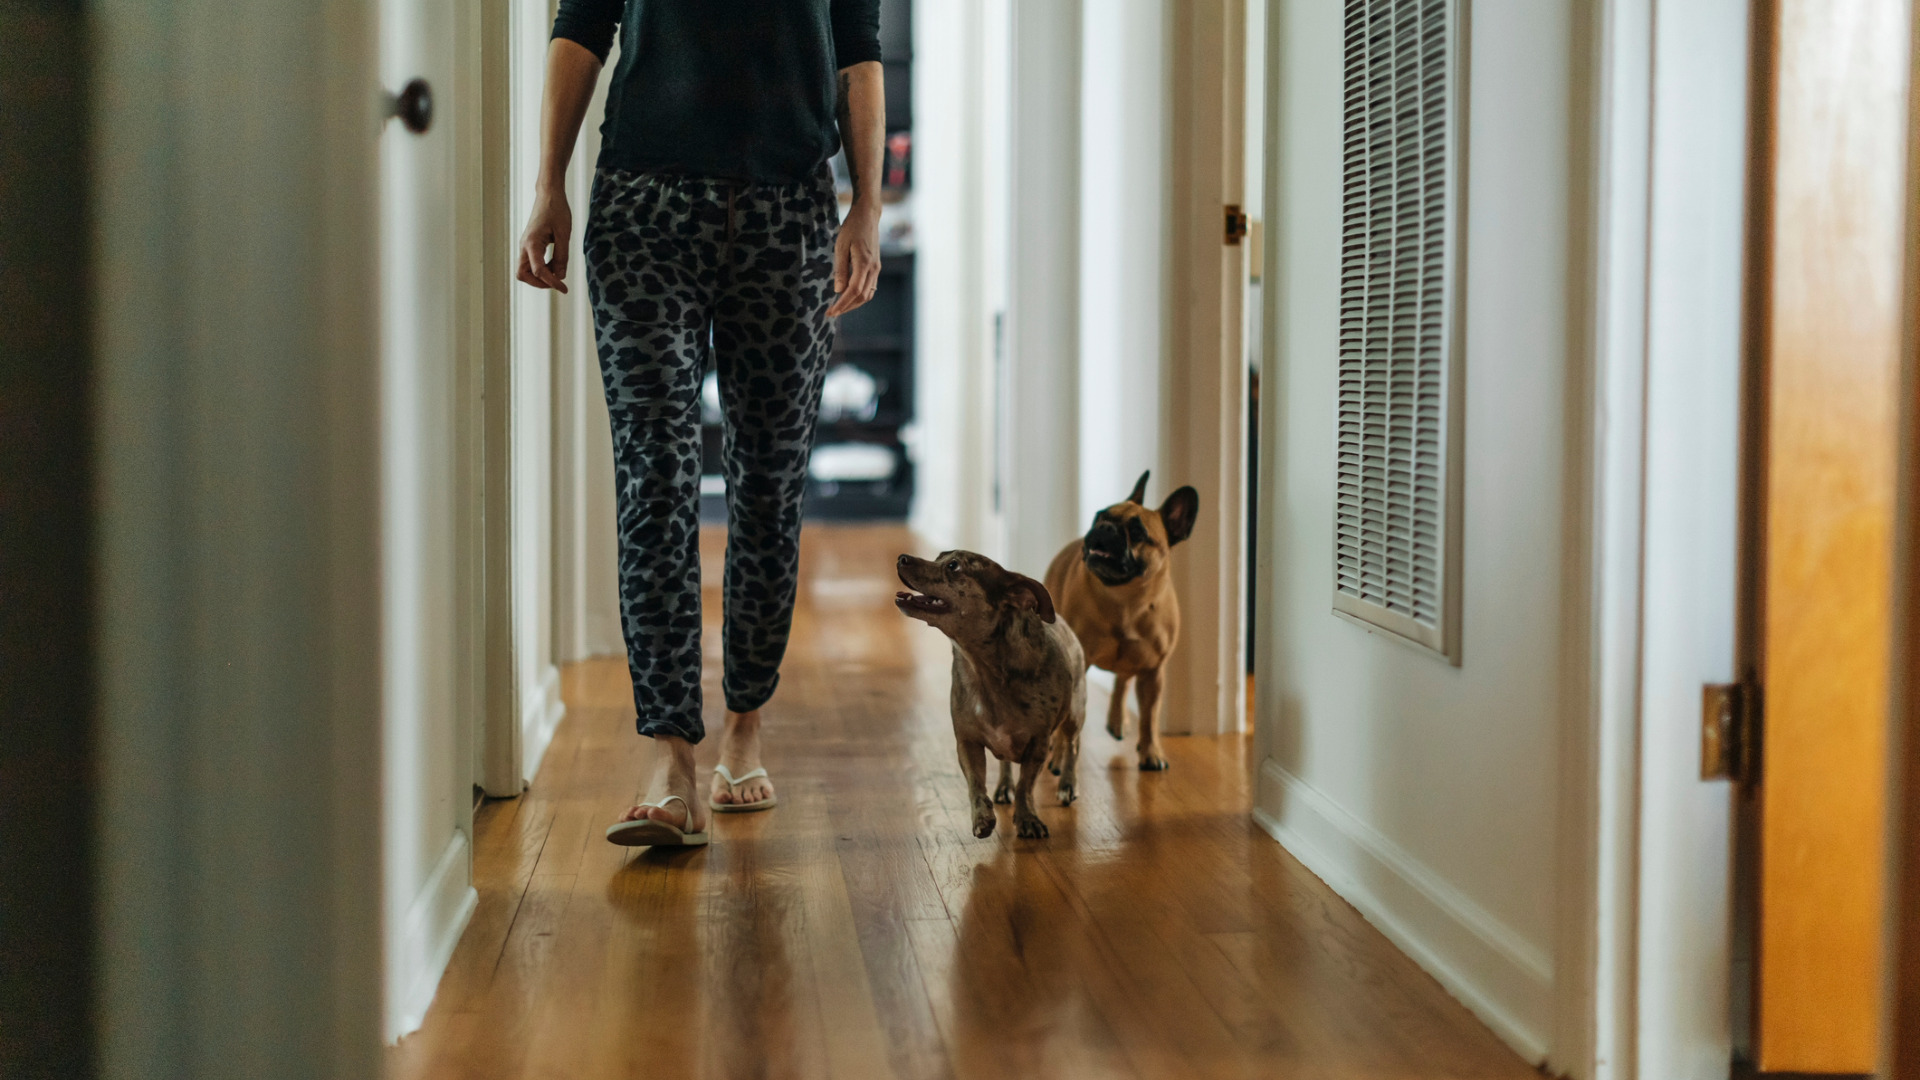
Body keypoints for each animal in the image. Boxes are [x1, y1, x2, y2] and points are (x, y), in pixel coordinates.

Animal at [894, 549, 1090, 837]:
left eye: (953, 566)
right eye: (939, 556)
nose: (902, 558)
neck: (983, 670)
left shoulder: (1038, 743)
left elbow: (1026, 785)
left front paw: (1027, 817)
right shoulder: (967, 742)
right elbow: (976, 782)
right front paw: (982, 816)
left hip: (1074, 714)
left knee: (1072, 746)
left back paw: (1067, 784)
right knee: (1006, 763)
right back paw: (1004, 786)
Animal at [1052, 468, 1198, 764]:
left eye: (1137, 532)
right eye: (1099, 516)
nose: (1104, 528)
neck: (1126, 599)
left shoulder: (1153, 672)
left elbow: (1150, 717)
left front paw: (1151, 751)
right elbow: (1068, 722)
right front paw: (1062, 755)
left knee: (1122, 680)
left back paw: (1118, 721)